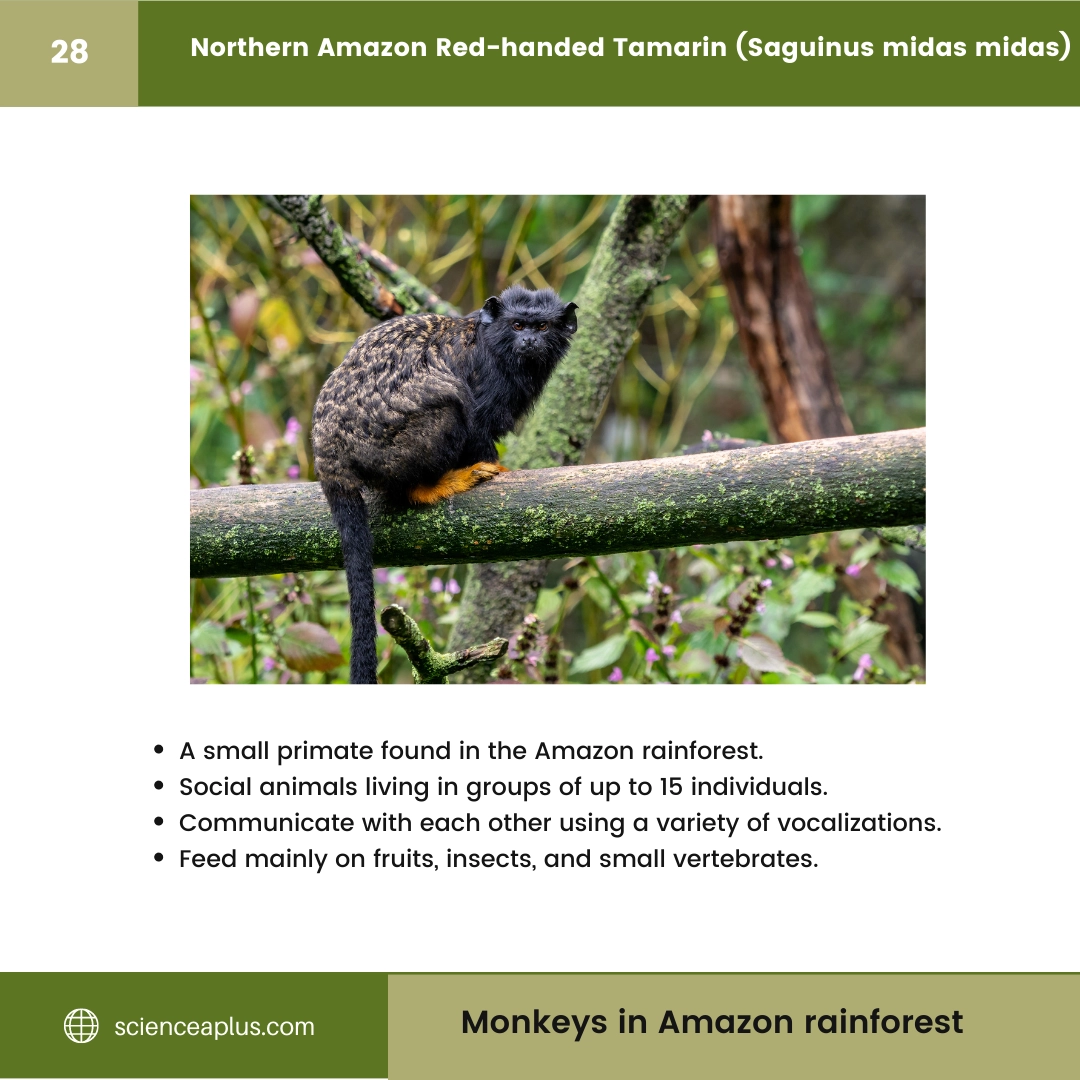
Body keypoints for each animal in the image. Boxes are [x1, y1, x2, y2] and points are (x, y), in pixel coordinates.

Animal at [311, 285, 578, 684]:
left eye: (542, 327)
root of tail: (329, 452)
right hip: (392, 446)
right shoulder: (488, 380)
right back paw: (433, 485)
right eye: (518, 325)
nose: (529, 340)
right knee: (451, 406)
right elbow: (477, 423)